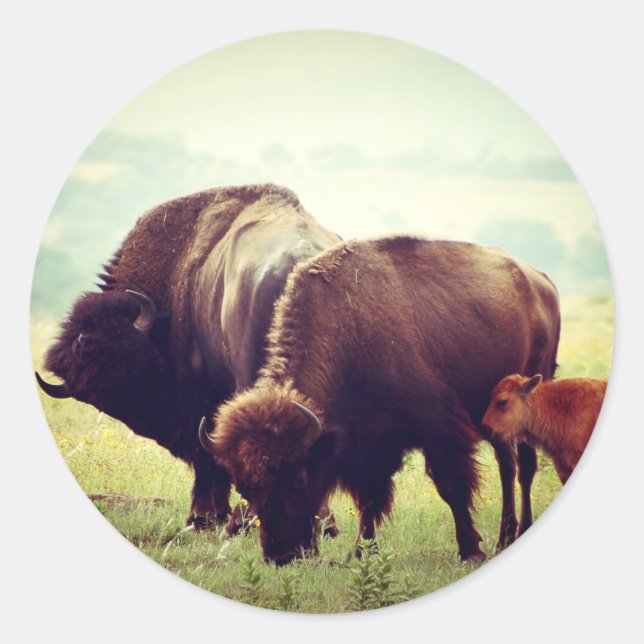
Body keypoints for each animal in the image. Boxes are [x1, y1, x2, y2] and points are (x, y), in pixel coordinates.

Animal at [200, 236, 560, 564]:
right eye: (244, 487)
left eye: (300, 477)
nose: (281, 555)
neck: (348, 331)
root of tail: (541, 281)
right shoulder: (366, 446)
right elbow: (369, 500)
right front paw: (362, 553)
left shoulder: (438, 429)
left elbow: (451, 487)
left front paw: (470, 550)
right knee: (507, 464)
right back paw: (505, 537)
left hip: (532, 392)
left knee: (524, 467)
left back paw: (516, 532)